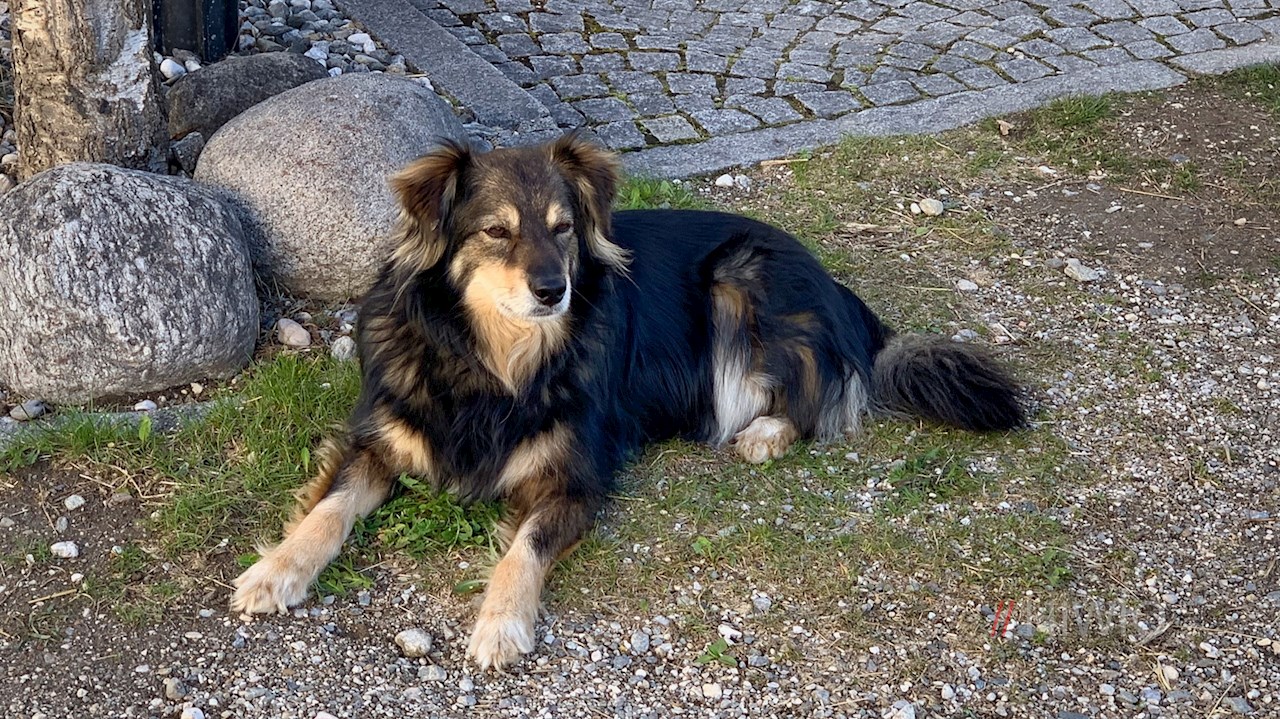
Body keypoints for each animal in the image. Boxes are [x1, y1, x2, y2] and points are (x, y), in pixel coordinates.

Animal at [230, 134, 1025, 670]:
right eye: (496, 231)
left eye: (563, 228)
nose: (554, 289)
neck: (493, 362)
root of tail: (838, 288)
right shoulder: (378, 436)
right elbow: (330, 507)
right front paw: (276, 570)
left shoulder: (577, 476)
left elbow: (523, 547)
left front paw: (500, 623)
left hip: (741, 279)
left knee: (818, 393)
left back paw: (766, 432)